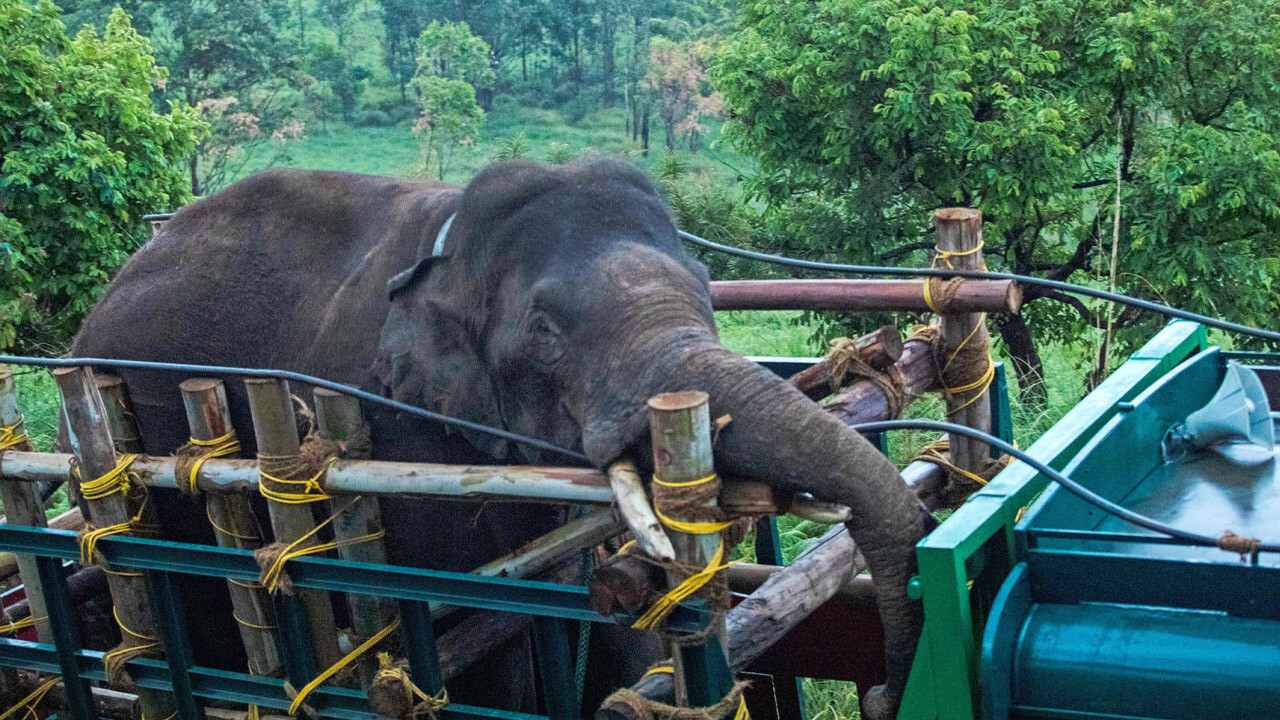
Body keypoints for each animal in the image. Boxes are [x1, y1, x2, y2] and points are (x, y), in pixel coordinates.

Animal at [70, 158, 926, 717]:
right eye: (546, 332)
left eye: (707, 290)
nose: (883, 695)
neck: (449, 247)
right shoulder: (401, 430)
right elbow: (476, 638)